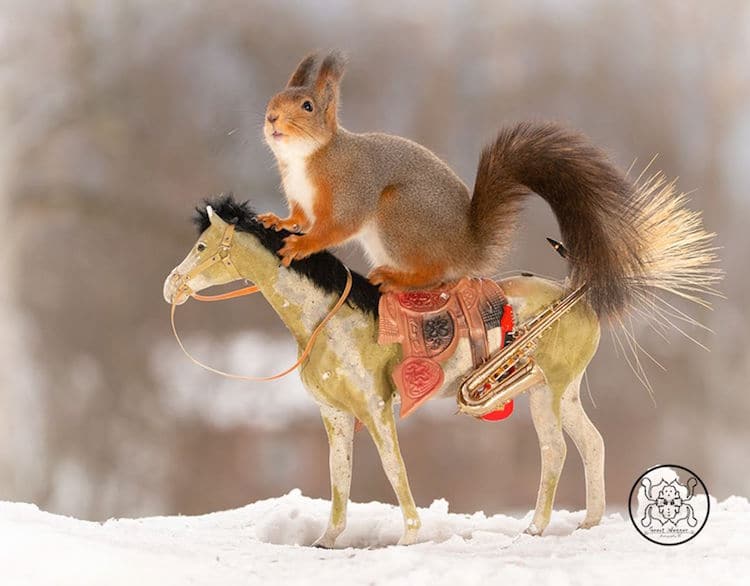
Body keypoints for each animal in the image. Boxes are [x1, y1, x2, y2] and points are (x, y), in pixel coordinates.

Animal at [262, 50, 644, 314]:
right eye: (274, 98)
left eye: (307, 106)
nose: (271, 118)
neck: (306, 158)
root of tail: (466, 247)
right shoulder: (300, 198)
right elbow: (300, 218)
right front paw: (278, 221)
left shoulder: (349, 189)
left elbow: (336, 226)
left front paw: (301, 246)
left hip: (398, 213)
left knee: (433, 272)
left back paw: (396, 279)